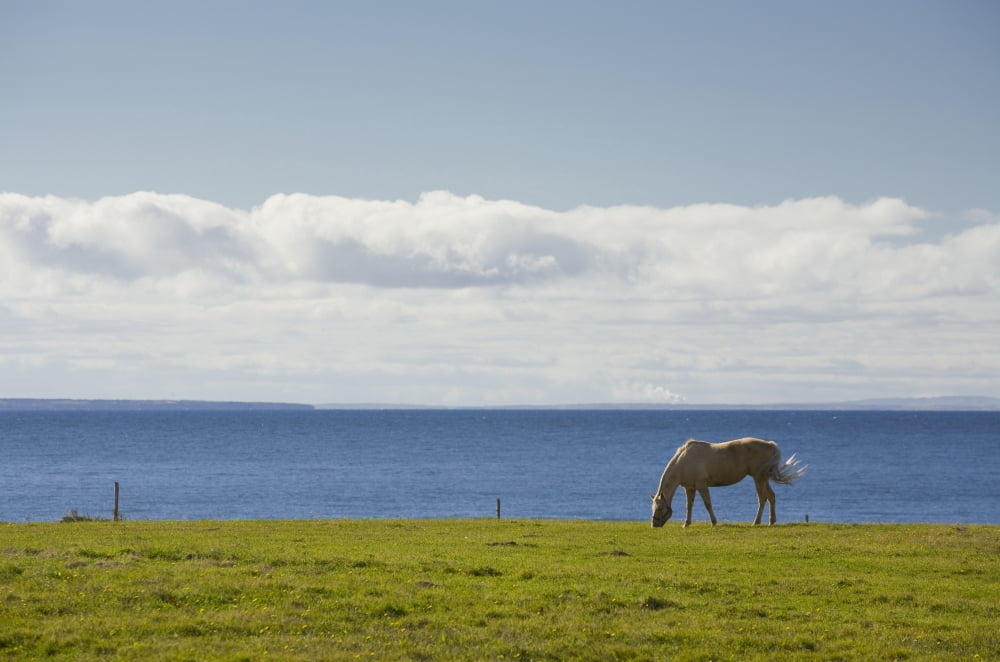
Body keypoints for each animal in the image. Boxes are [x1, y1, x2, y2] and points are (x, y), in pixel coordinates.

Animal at [651, 437, 806, 527]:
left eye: (660, 508)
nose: (654, 525)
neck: (684, 461)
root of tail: (770, 445)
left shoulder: (701, 486)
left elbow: (708, 504)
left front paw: (714, 522)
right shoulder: (689, 488)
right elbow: (689, 506)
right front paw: (686, 524)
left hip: (759, 478)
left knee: (762, 499)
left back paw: (756, 522)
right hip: (763, 478)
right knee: (771, 497)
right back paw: (771, 521)